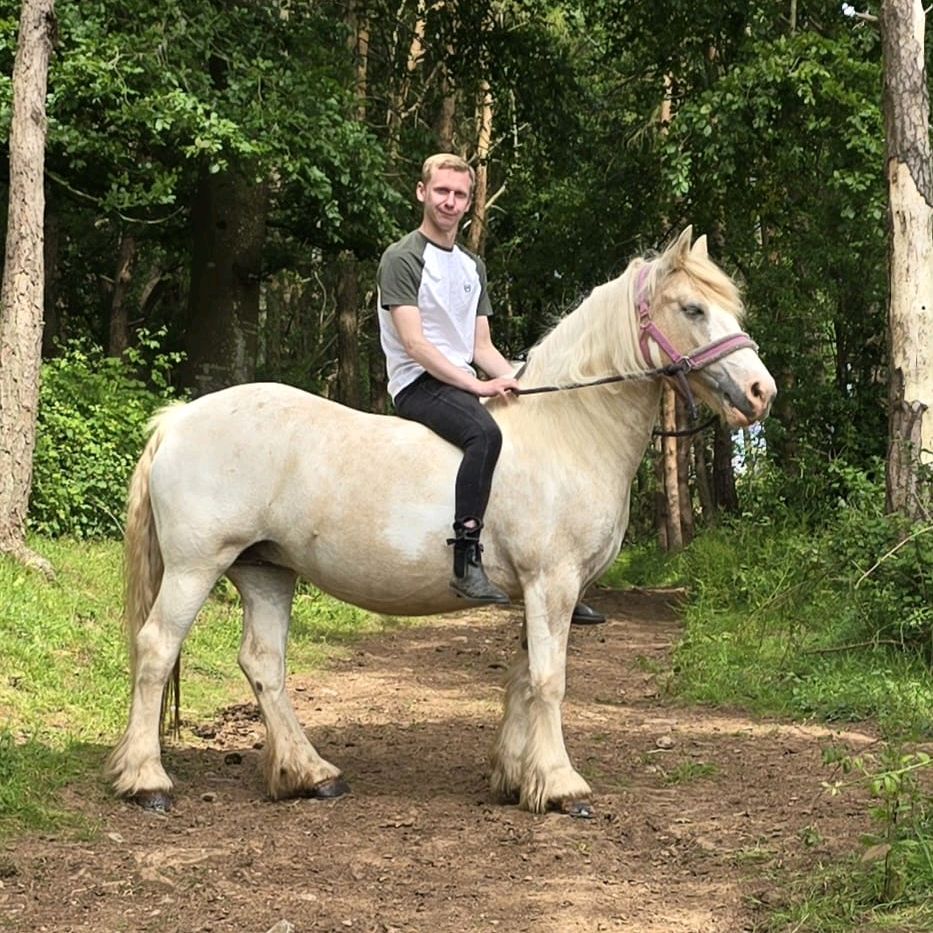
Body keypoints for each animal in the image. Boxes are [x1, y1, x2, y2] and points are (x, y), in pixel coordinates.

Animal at [106, 227, 776, 815]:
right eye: (693, 308)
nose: (760, 391)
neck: (567, 429)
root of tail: (179, 419)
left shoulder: (536, 591)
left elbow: (523, 677)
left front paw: (517, 778)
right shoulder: (551, 584)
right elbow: (550, 680)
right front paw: (562, 786)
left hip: (265, 570)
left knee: (264, 664)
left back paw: (311, 775)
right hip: (197, 566)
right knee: (157, 647)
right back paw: (147, 781)